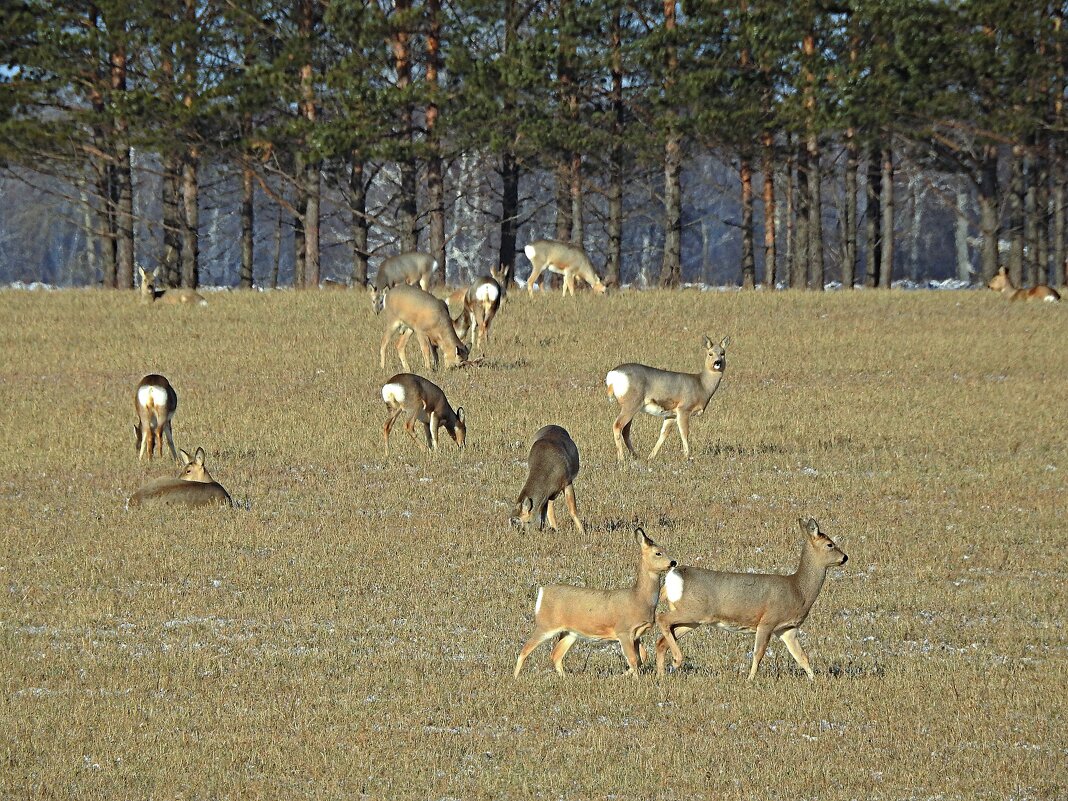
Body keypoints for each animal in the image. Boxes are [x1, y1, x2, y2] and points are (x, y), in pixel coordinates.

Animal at [514, 529, 679, 679]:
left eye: (666, 550)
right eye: (658, 553)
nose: (673, 562)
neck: (638, 599)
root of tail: (542, 591)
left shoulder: (636, 634)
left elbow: (641, 658)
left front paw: (624, 675)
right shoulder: (623, 630)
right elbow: (633, 660)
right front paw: (634, 679)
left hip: (570, 632)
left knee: (555, 654)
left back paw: (565, 677)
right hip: (546, 625)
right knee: (525, 649)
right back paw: (515, 677)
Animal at [606, 333, 730, 463]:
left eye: (723, 353)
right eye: (710, 353)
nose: (717, 362)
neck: (701, 384)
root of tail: (612, 375)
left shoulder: (671, 414)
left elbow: (664, 433)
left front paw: (651, 457)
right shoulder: (684, 409)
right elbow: (684, 433)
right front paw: (687, 457)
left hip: (631, 407)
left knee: (625, 430)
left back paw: (636, 456)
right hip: (631, 404)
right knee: (618, 425)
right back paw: (621, 459)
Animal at [653, 521, 845, 683]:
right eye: (830, 544)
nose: (845, 557)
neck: (798, 589)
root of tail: (673, 576)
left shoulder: (787, 629)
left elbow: (802, 656)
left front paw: (815, 680)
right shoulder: (767, 621)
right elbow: (758, 653)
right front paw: (750, 679)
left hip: (693, 619)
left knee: (661, 641)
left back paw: (662, 674)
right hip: (692, 611)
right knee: (661, 618)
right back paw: (676, 661)